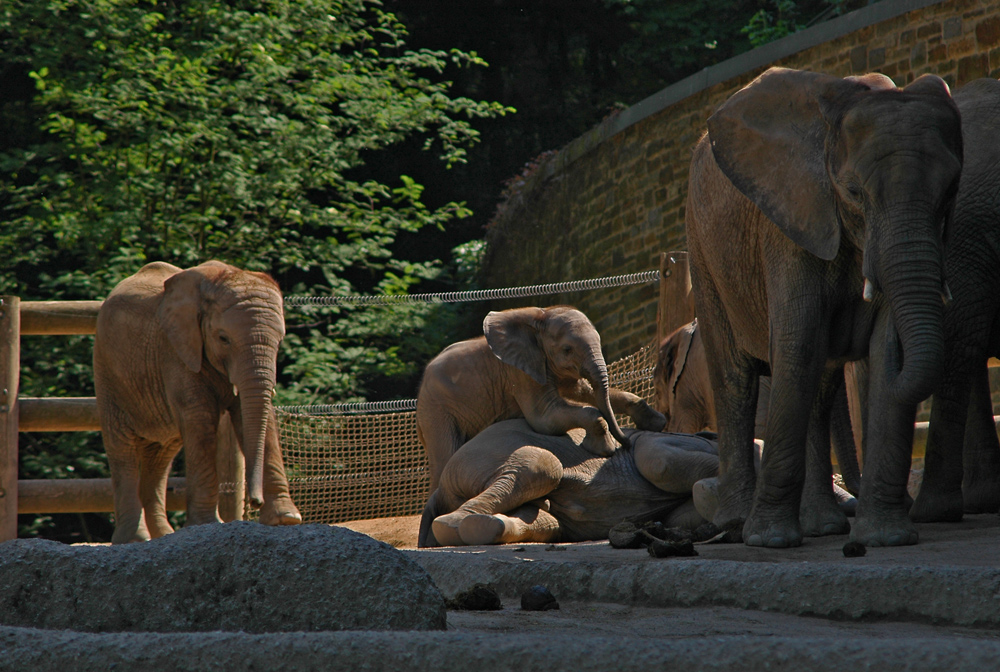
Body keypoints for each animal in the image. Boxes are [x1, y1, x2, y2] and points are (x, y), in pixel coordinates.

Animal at [95, 260, 302, 544]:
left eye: (280, 341)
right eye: (223, 338)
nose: (255, 501)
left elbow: (259, 417)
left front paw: (285, 521)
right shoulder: (177, 351)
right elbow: (200, 418)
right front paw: (206, 525)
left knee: (161, 456)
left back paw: (164, 536)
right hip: (108, 372)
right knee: (121, 447)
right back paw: (135, 539)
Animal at [422, 418, 720, 548]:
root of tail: (438, 492)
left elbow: (681, 517)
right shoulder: (655, 439)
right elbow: (660, 463)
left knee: (545, 520)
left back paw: (481, 527)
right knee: (543, 465)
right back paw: (451, 526)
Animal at [688, 68, 960, 548]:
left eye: (949, 192)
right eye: (853, 192)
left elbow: (885, 348)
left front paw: (887, 538)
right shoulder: (789, 224)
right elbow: (797, 346)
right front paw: (769, 541)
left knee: (819, 390)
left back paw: (822, 527)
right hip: (702, 252)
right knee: (735, 378)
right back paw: (736, 526)